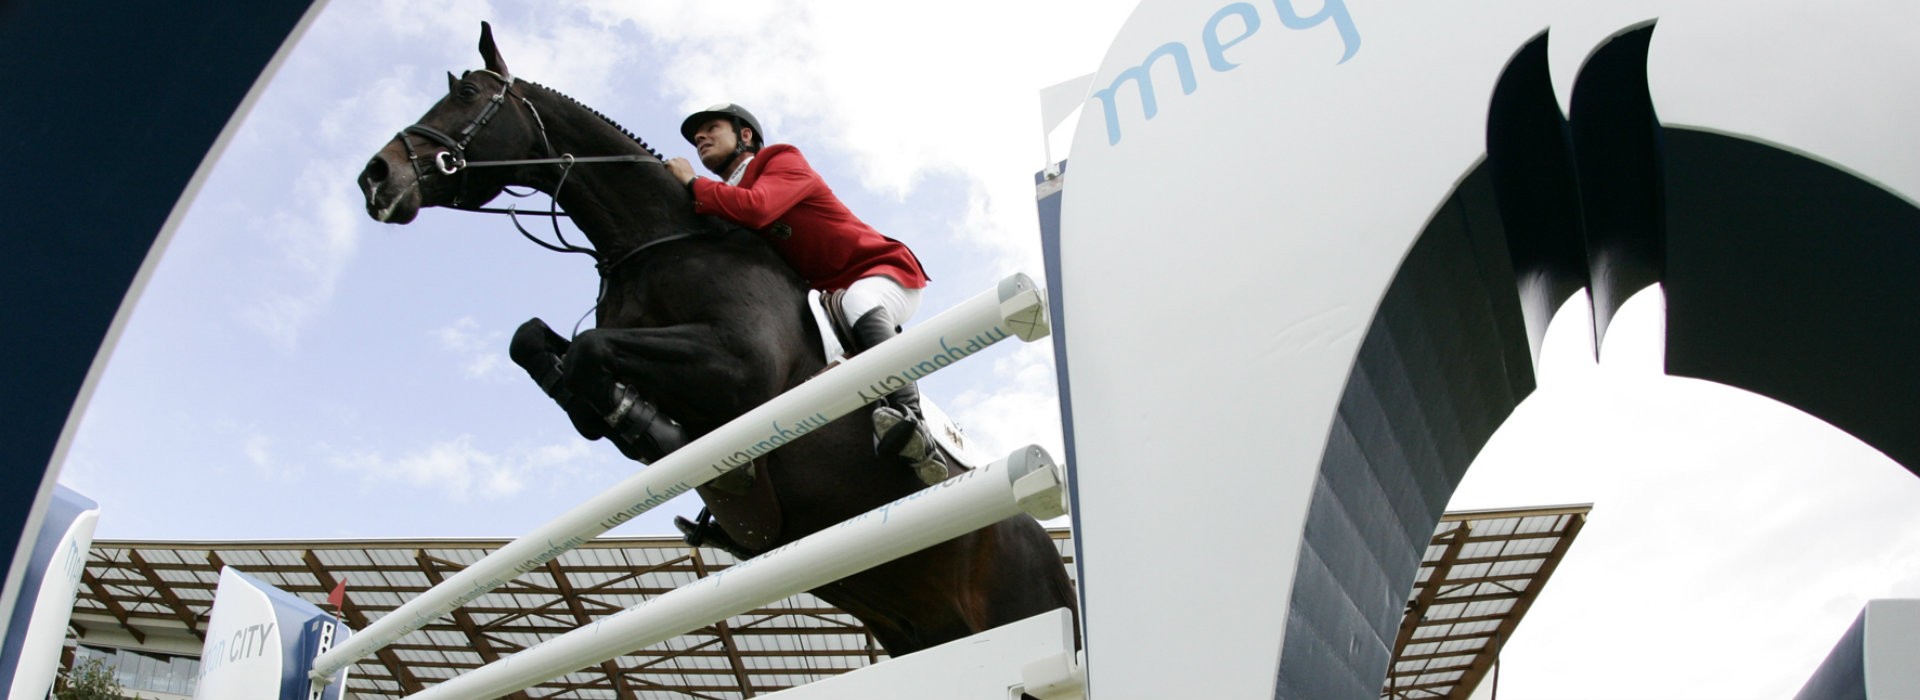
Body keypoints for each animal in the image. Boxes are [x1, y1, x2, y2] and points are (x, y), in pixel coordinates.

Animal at [353, 23, 1075, 655]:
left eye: (470, 93)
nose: (375, 177)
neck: (656, 242)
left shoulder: (736, 369)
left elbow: (592, 354)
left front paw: (641, 425)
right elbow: (533, 341)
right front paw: (612, 417)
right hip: (921, 632)